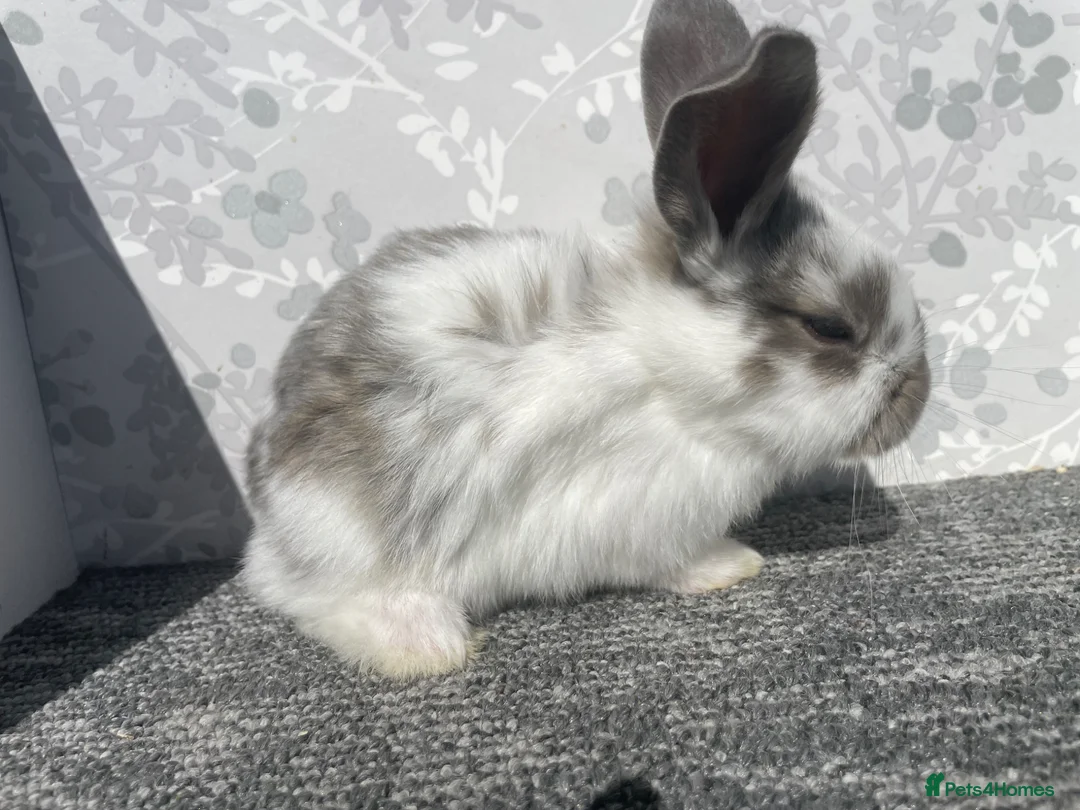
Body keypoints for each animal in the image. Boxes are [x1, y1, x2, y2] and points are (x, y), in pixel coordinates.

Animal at [240, 0, 930, 680]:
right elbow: (675, 562)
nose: (918, 394)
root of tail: (269, 525)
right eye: (830, 328)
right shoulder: (643, 525)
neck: (665, 378)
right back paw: (427, 647)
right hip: (359, 534)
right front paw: (732, 566)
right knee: (320, 598)